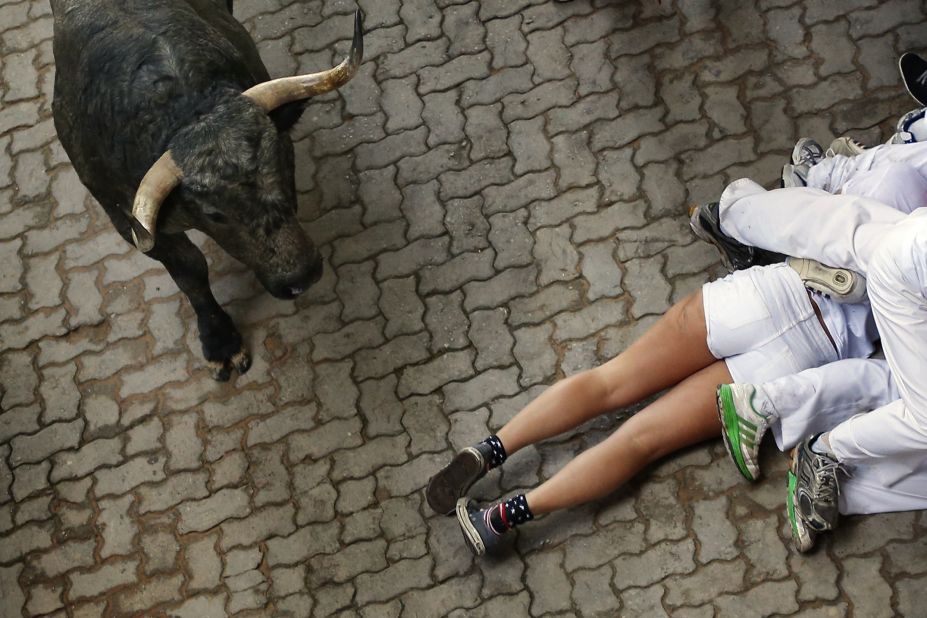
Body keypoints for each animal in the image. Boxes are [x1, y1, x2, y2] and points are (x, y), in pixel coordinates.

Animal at [49, 0, 364, 378]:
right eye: (215, 214)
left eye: (283, 164)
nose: (301, 276)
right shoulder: (125, 218)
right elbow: (191, 271)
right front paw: (220, 341)